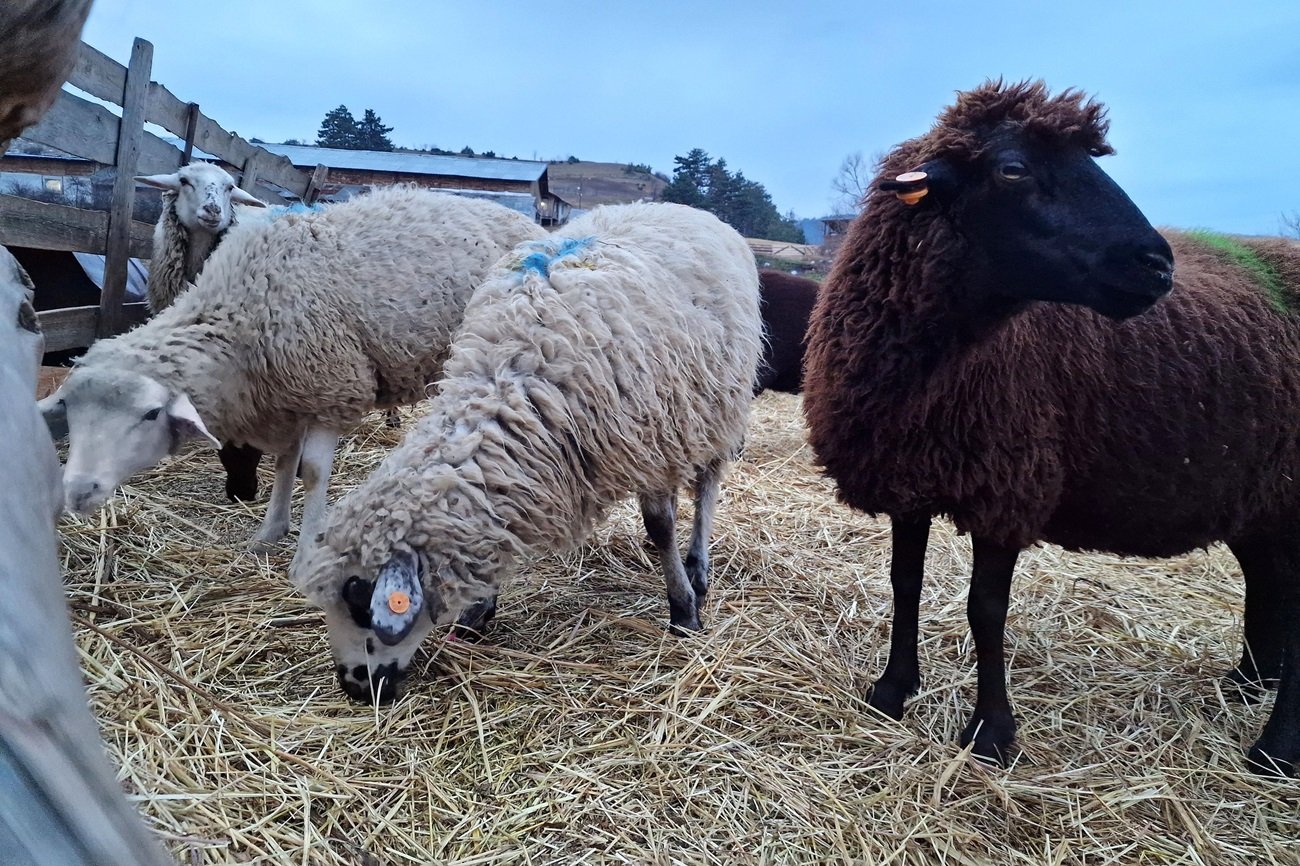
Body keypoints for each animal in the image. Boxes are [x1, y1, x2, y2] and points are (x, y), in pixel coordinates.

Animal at [41, 185, 548, 559]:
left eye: (149, 415)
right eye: (69, 412)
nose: (78, 492)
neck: (238, 316)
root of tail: (527, 220)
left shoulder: (333, 387)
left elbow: (313, 472)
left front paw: (306, 547)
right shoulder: (285, 398)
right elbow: (286, 462)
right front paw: (270, 530)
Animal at [292, 202, 759, 702]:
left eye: (361, 602)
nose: (354, 687)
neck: (514, 377)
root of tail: (676, 205)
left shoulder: (649, 441)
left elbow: (661, 526)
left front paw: (684, 610)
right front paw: (479, 609)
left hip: (717, 409)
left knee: (707, 487)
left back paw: (698, 568)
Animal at [800, 77, 1300, 769]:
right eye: (1012, 169)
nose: (1158, 266)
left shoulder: (1007, 484)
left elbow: (985, 610)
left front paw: (990, 733)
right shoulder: (910, 476)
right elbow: (905, 583)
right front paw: (892, 691)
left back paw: (1275, 748)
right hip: (1256, 493)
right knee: (1268, 580)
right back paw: (1249, 682)